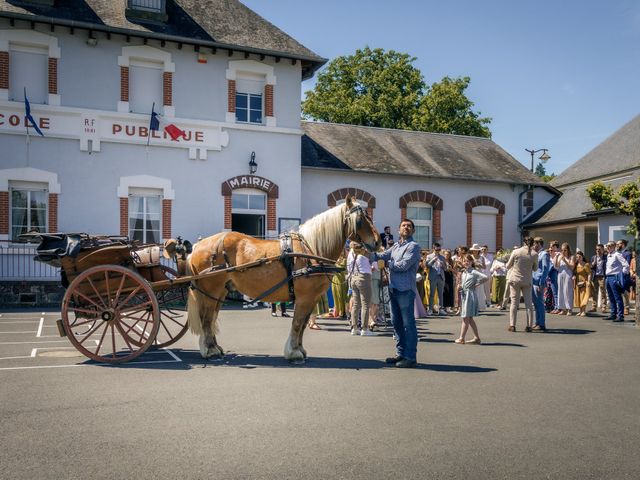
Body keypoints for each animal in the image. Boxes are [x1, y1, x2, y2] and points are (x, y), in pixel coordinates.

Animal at [185, 197, 380, 362]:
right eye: (360, 219)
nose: (378, 242)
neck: (311, 250)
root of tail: (198, 245)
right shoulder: (304, 298)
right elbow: (298, 323)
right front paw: (294, 353)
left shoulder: (311, 299)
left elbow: (303, 325)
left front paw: (300, 349)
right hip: (212, 291)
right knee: (207, 319)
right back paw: (210, 351)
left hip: (219, 293)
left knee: (211, 318)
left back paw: (214, 347)